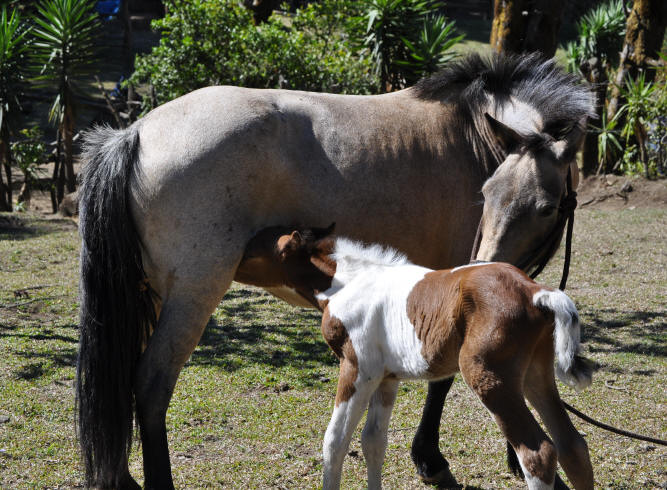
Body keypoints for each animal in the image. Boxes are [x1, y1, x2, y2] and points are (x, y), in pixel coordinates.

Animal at [236, 224, 595, 489]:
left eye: (250, 251)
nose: (229, 263)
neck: (347, 283)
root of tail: (536, 292)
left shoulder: (357, 368)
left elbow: (335, 441)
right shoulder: (386, 378)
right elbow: (373, 441)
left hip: (489, 377)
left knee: (539, 455)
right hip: (535, 374)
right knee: (573, 446)